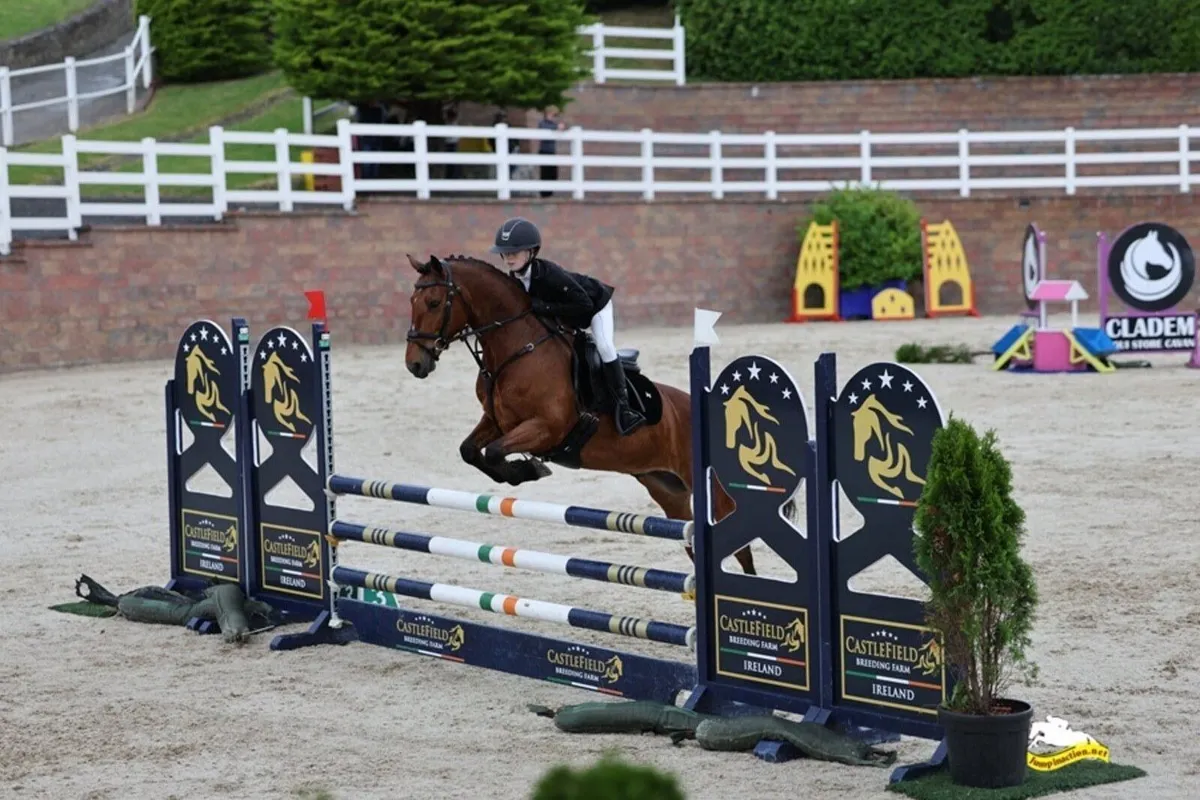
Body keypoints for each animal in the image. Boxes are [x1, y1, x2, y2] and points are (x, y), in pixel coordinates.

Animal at [402, 253, 756, 577]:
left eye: (434, 302)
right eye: (412, 300)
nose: (415, 364)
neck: (518, 348)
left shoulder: (547, 427)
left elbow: (495, 451)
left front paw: (528, 470)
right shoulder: (497, 421)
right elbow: (471, 450)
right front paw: (519, 472)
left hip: (710, 491)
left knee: (739, 546)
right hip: (668, 489)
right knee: (694, 539)